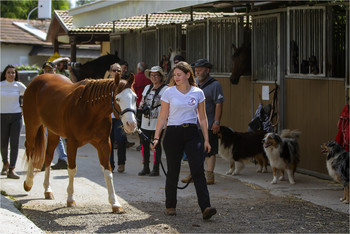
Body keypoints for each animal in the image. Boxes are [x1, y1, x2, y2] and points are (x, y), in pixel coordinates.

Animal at [22, 72, 137, 212]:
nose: (131, 124)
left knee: (48, 156)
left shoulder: (104, 144)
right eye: (118, 99)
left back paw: (47, 190)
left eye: (135, 98)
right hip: (32, 125)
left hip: (53, 132)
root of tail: (39, 78)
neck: (90, 110)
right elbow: (72, 170)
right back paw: (28, 183)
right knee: (31, 151)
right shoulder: (72, 143)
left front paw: (115, 203)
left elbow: (108, 172)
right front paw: (70, 199)